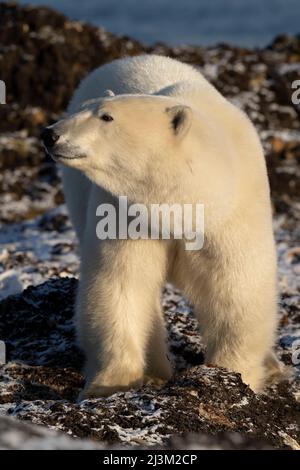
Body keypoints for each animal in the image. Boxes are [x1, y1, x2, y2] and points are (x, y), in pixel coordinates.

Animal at [41, 57, 282, 398]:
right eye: (87, 109)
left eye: (107, 116)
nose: (50, 134)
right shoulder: (126, 211)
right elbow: (121, 284)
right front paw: (109, 384)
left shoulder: (232, 215)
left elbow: (237, 291)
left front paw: (233, 376)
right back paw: (157, 370)